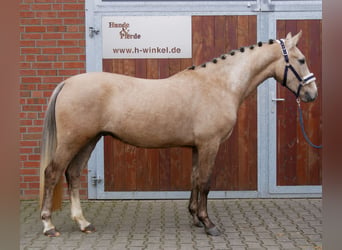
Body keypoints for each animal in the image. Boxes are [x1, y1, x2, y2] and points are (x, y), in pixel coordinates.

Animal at [39, 31, 318, 236]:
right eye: (301, 60)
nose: (311, 94)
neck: (219, 84)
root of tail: (68, 82)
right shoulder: (209, 145)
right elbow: (205, 182)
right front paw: (209, 224)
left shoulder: (197, 146)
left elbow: (194, 179)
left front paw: (195, 217)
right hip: (73, 140)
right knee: (53, 173)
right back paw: (49, 225)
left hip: (88, 140)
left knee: (73, 174)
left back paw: (83, 223)